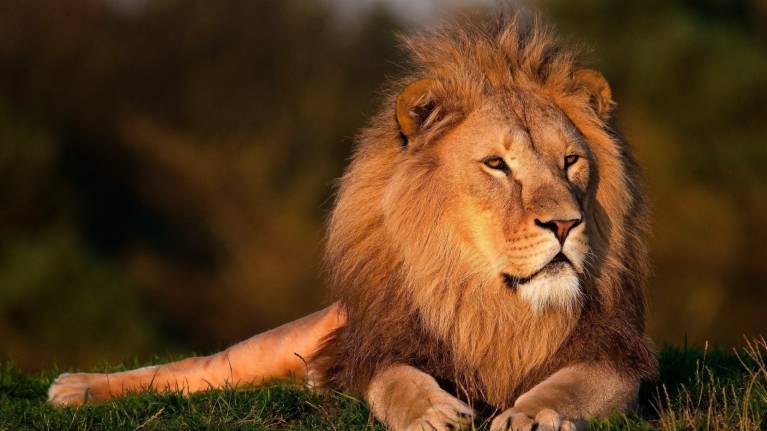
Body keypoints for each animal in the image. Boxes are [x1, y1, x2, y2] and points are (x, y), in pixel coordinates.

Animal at [48, 11, 656, 431]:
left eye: (571, 161)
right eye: (496, 165)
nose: (566, 224)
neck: (490, 304)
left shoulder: (614, 357)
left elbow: (570, 385)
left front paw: (532, 414)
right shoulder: (378, 348)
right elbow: (396, 381)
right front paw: (432, 411)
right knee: (199, 367)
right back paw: (74, 387)